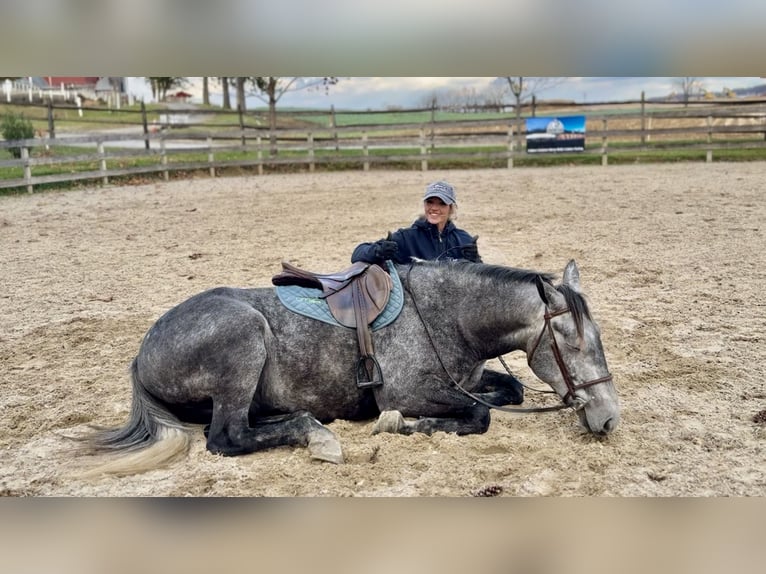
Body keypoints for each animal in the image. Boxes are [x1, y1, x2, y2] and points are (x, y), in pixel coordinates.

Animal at [80, 259, 619, 475]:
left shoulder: (464, 378)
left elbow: (507, 391)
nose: (610, 419)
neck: (445, 313)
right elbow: (477, 415)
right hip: (243, 341)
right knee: (227, 436)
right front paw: (403, 424)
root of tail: (142, 353)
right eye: (570, 343)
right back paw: (317, 435)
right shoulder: (404, 391)